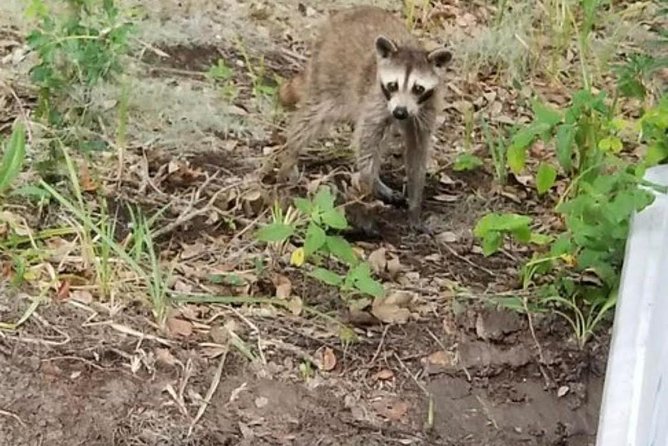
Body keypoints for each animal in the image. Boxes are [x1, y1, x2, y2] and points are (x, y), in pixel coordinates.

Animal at [274, 5, 452, 232]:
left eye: (418, 88)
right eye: (393, 85)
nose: (400, 113)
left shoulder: (427, 109)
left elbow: (417, 152)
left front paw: (415, 204)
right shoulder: (376, 99)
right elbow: (367, 141)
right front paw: (369, 185)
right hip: (330, 74)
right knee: (312, 117)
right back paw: (291, 155)